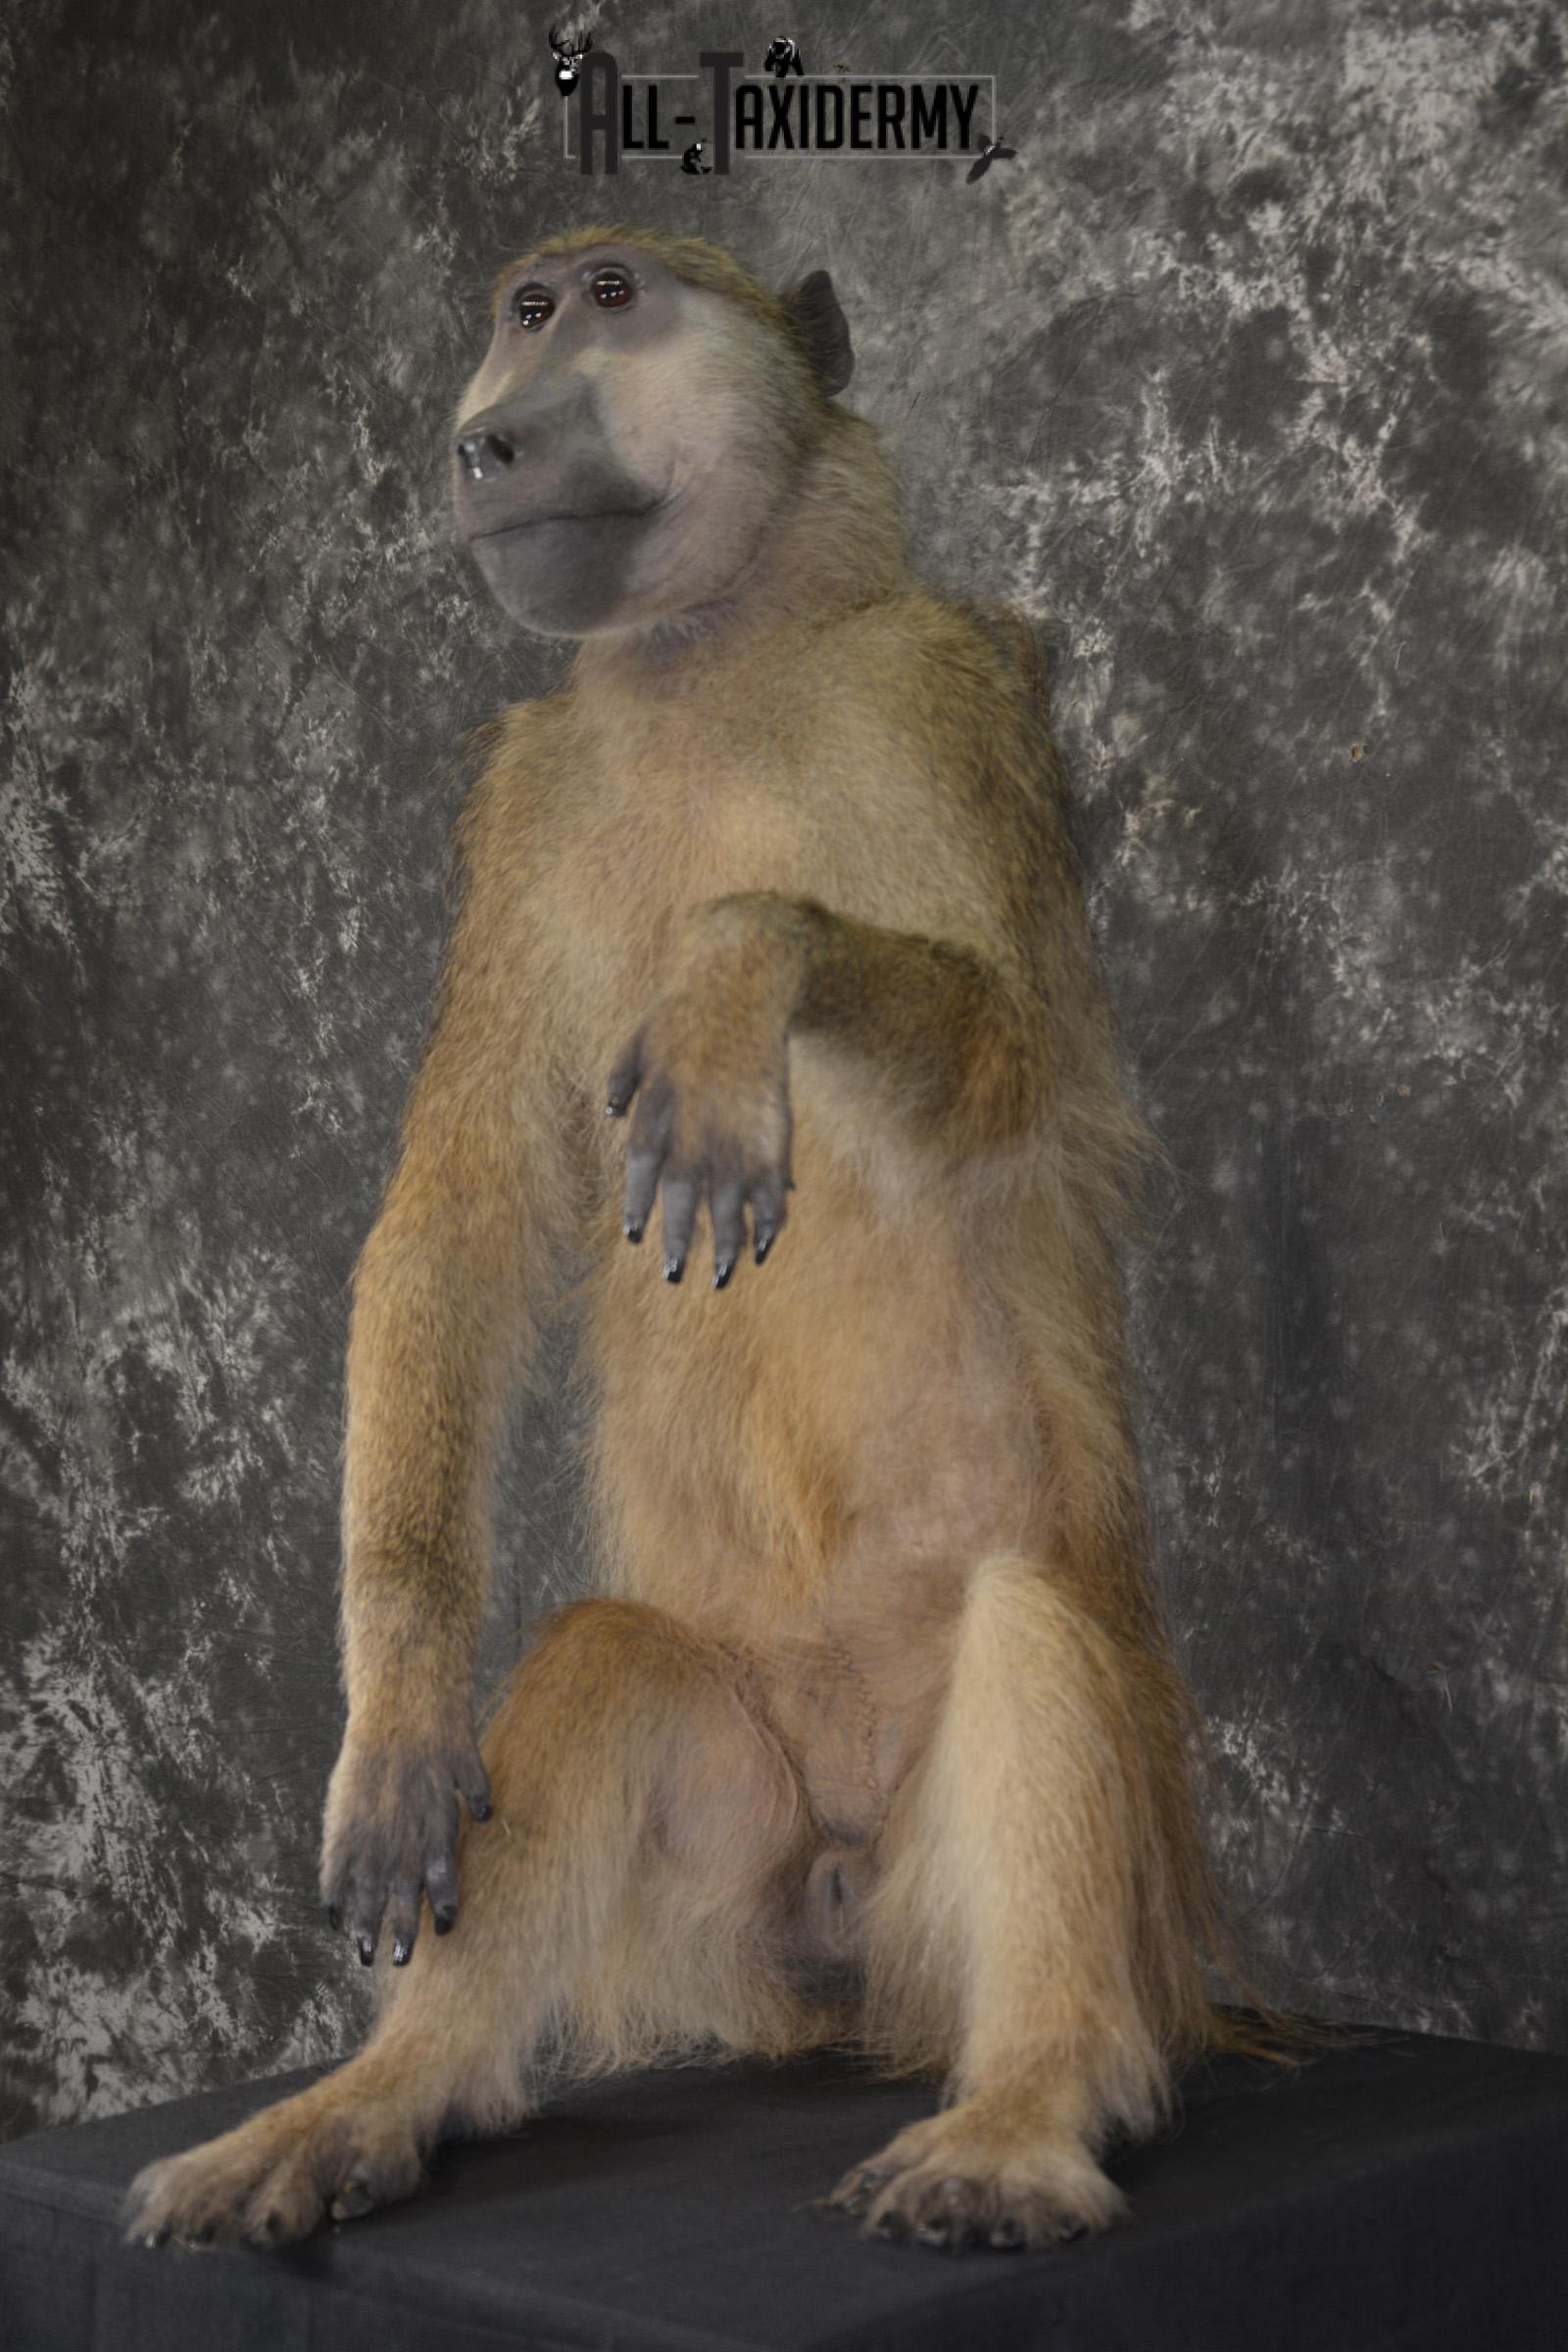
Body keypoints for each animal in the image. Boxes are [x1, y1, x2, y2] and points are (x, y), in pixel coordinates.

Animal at [123, 225, 1277, 2260]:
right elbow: (457, 1220)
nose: (490, 442)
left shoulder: (937, 697)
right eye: (518, 315)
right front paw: (395, 1720)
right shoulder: (525, 806)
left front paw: (745, 974)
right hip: (738, 1882)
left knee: (1034, 1627)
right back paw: (373, 2103)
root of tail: (849, 1954)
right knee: (603, 1661)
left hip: (1034, 1891)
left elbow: (1003, 1066)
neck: (711, 665)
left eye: (613, 299)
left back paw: (1024, 2117)